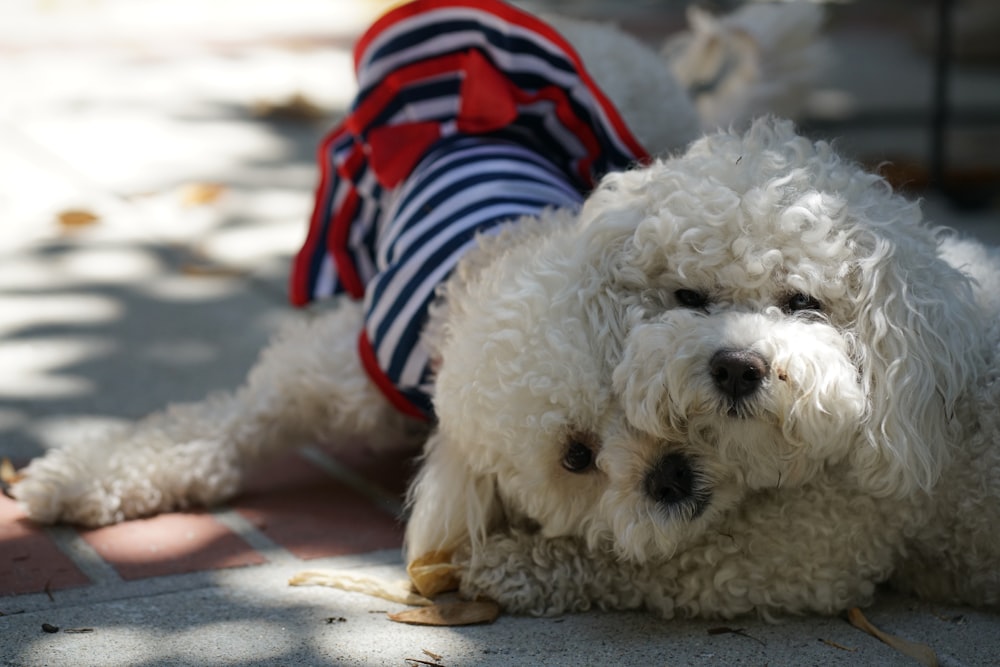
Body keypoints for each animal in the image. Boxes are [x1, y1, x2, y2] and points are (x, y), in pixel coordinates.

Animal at [9, 0, 1000, 620]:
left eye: (804, 301)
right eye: (577, 455)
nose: (672, 476)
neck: (482, 263)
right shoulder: (325, 372)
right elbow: (213, 427)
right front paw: (78, 478)